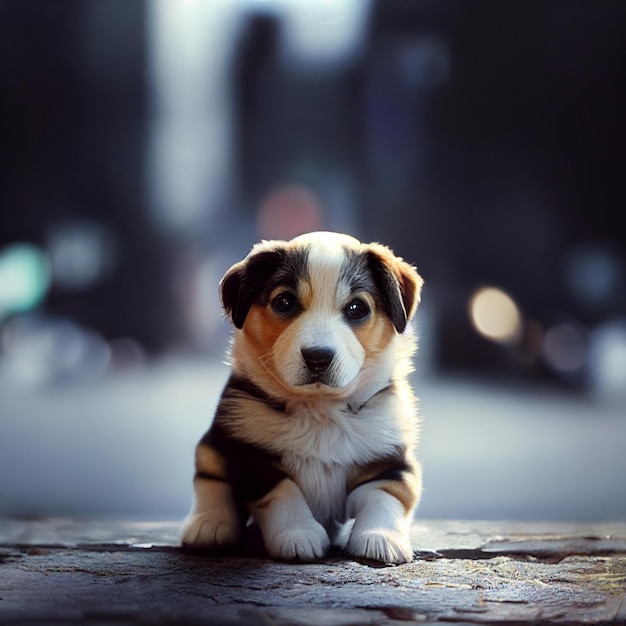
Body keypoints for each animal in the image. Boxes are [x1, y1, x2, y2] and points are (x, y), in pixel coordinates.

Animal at [180, 232, 424, 564]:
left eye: (356, 308)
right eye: (284, 301)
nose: (318, 358)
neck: (320, 409)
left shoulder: (392, 460)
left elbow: (384, 496)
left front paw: (380, 538)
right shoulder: (252, 457)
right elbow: (284, 492)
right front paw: (298, 535)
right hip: (212, 442)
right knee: (210, 481)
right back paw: (209, 524)